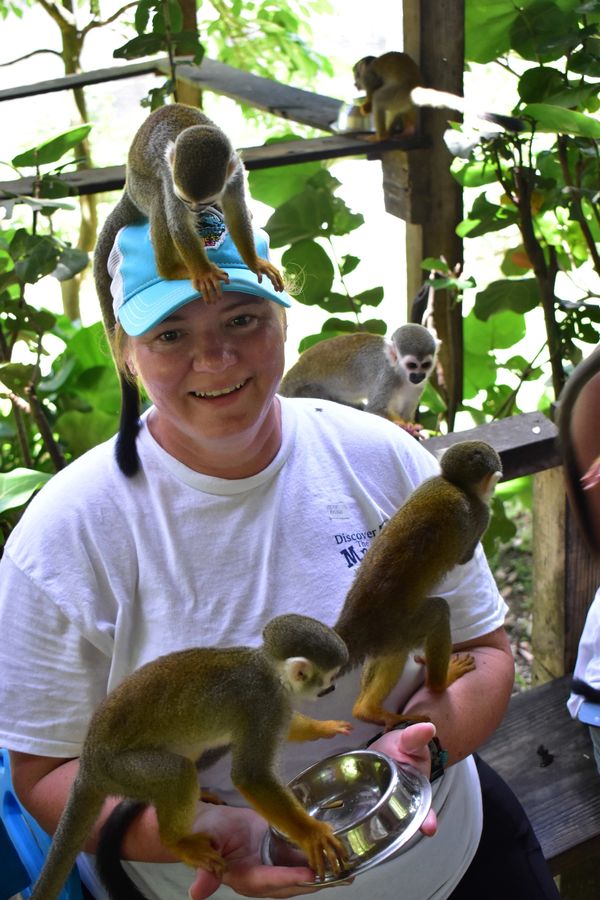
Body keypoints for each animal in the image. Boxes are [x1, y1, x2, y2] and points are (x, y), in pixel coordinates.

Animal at [29, 614, 351, 900]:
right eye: (329, 677)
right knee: (177, 772)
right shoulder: (264, 704)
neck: (270, 671)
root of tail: (87, 765)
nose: (333, 687)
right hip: (117, 769)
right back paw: (177, 842)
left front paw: (322, 727)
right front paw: (312, 834)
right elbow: (251, 776)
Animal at [279, 324, 439, 433]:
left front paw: (409, 426)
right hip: (300, 391)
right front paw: (404, 426)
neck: (400, 373)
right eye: (412, 365)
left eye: (425, 365)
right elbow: (375, 409)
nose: (419, 376)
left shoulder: (418, 385)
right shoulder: (387, 375)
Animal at [334, 440, 503, 729]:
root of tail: (355, 623)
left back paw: (366, 710)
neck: (454, 485)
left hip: (385, 637)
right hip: (399, 628)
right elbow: (465, 555)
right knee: (438, 613)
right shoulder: (482, 516)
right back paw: (438, 684)